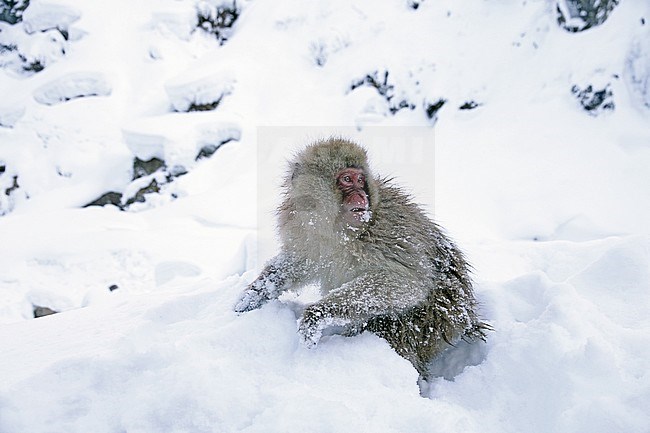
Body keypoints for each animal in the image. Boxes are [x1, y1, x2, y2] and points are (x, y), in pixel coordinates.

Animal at [233, 137, 486, 376]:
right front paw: (254, 296)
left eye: (360, 180)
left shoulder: (390, 229)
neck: (337, 230)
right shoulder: (304, 229)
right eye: (347, 179)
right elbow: (297, 263)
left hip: (434, 319)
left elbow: (409, 282)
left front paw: (317, 314)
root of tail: (466, 317)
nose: (361, 195)